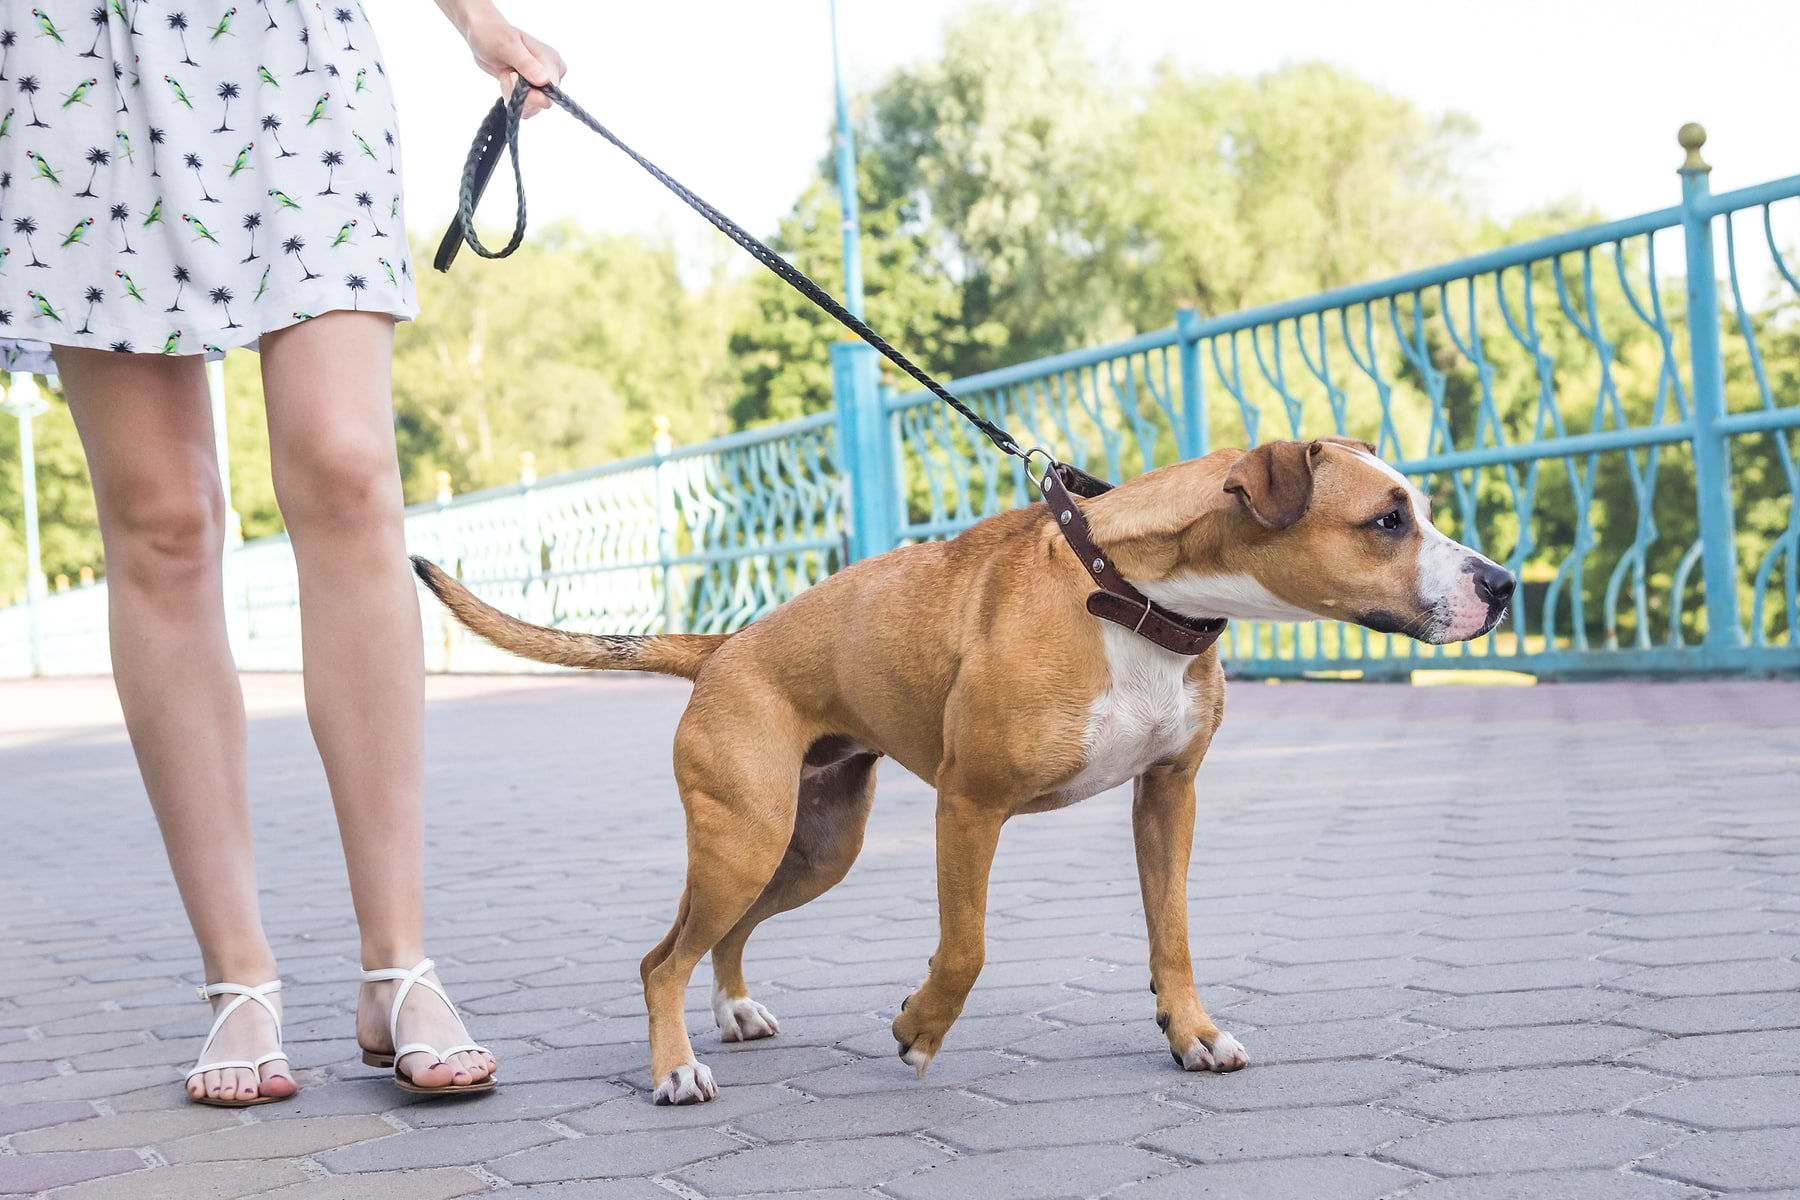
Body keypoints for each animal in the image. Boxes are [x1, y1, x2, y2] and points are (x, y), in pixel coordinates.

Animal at [414, 437, 1512, 1101]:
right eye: (1387, 521)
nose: (1501, 583)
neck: (1129, 594)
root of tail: (723, 648)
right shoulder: (969, 807)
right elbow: (968, 948)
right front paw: (918, 1029)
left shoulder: (1169, 799)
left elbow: (1174, 938)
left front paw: (1190, 1032)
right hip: (744, 838)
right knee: (660, 958)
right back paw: (677, 1066)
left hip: (811, 848)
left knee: (719, 938)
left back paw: (730, 1009)